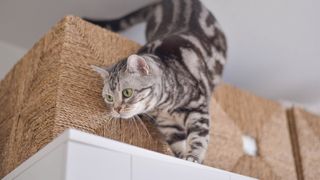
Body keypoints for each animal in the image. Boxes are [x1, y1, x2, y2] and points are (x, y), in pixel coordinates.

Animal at [87, 0, 228, 163]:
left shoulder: (198, 107)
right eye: (109, 97)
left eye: (127, 92)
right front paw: (181, 157)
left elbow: (199, 137)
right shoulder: (169, 126)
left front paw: (193, 157)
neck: (163, 107)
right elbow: (178, 144)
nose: (116, 109)